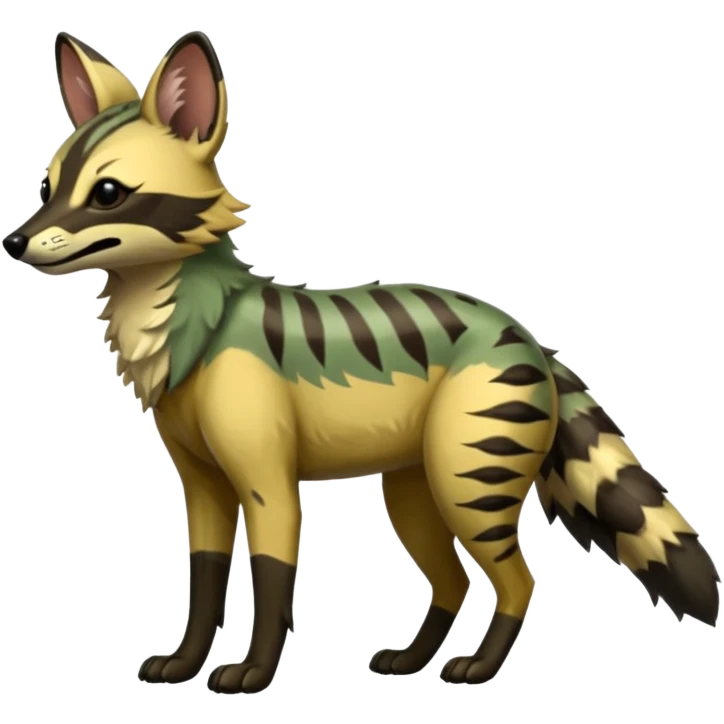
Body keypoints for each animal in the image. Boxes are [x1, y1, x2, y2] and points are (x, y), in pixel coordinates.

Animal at [3, 30, 720, 695]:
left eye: (108, 194)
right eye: (47, 185)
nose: (14, 241)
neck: (194, 327)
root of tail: (525, 334)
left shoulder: (267, 482)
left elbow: (273, 580)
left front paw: (254, 673)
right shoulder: (201, 484)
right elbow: (203, 581)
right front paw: (184, 664)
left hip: (468, 481)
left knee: (519, 582)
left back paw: (480, 668)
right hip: (413, 489)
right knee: (452, 582)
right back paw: (413, 660)